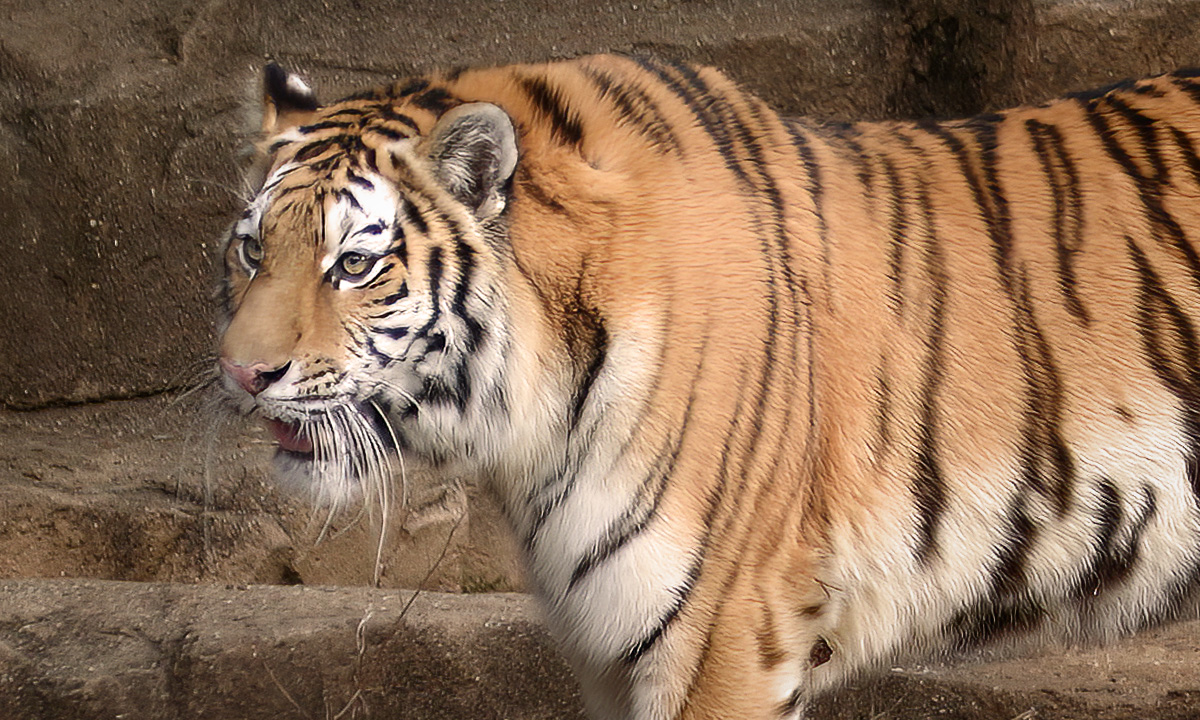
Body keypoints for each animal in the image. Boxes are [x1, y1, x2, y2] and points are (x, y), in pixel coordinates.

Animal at [216, 56, 1200, 720]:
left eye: (354, 265)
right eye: (254, 250)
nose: (241, 373)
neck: (533, 432)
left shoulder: (724, 631)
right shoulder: (611, 650)